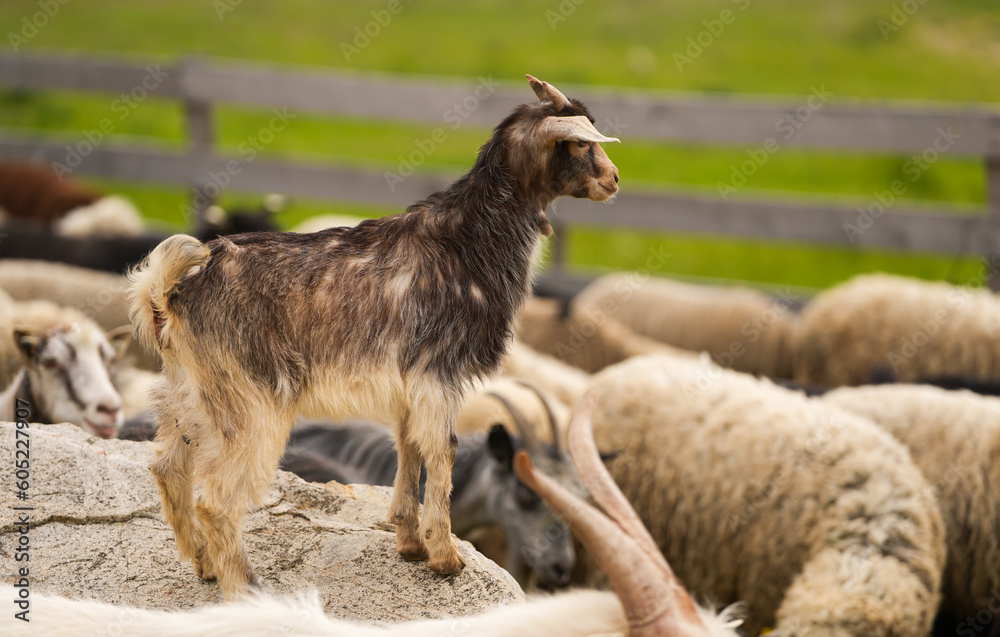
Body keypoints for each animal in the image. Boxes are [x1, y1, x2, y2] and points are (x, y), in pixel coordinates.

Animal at [127, 74, 621, 598]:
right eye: (582, 142)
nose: (614, 180)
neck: (469, 240)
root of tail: (169, 294)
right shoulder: (438, 371)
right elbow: (442, 451)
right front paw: (446, 559)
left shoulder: (408, 381)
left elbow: (408, 446)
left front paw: (410, 543)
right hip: (248, 402)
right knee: (216, 499)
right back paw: (245, 588)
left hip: (190, 395)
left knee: (169, 469)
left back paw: (205, 565)